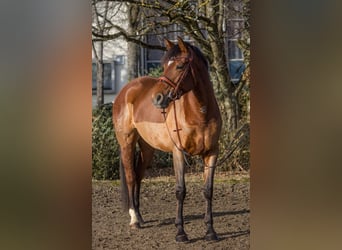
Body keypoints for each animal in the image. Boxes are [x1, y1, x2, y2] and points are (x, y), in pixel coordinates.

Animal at [113, 37, 222, 242]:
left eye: (179, 66)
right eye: (164, 66)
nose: (157, 98)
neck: (200, 113)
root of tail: (126, 90)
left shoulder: (212, 153)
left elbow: (208, 190)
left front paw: (210, 231)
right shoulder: (178, 152)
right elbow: (180, 191)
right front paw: (180, 232)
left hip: (147, 148)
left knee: (138, 176)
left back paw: (140, 216)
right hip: (127, 143)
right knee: (131, 177)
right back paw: (134, 219)